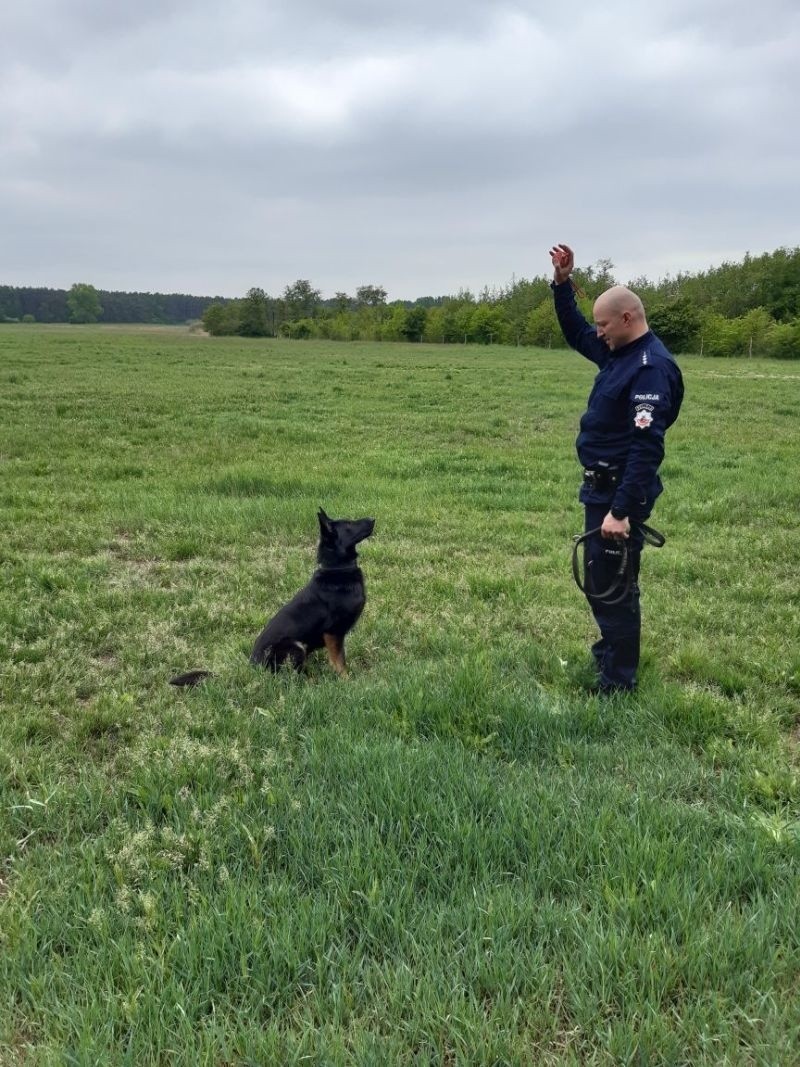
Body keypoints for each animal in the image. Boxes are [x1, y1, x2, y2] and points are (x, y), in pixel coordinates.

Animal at [169, 510, 375, 691]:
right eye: (349, 524)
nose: (373, 518)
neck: (336, 568)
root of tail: (252, 667)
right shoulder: (333, 632)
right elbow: (339, 661)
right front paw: (347, 681)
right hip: (295, 647)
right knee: (289, 677)